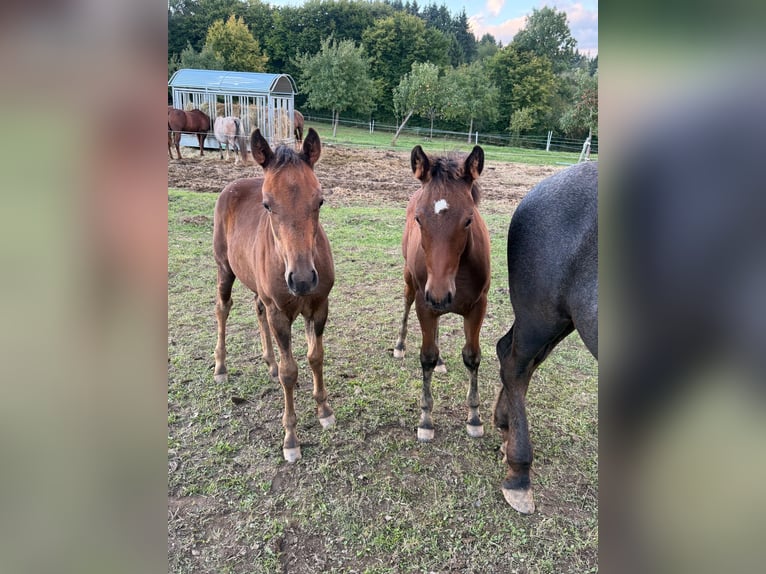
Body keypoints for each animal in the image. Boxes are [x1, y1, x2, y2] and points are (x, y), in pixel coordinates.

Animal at [212, 127, 335, 463]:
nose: (302, 280)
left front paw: (324, 410)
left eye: (320, 201)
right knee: (223, 308)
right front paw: (291, 439)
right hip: (224, 269)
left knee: (257, 308)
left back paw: (268, 362)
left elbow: (316, 357)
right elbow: (289, 372)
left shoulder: (319, 306)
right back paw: (221, 366)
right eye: (267, 205)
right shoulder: (280, 313)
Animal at [393, 145, 491, 442]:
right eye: (419, 219)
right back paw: (399, 346)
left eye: (468, 220)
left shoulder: (477, 306)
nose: (439, 295)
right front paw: (426, 420)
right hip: (412, 282)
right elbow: (426, 356)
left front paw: (474, 417)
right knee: (407, 302)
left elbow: (472, 356)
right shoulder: (425, 304)